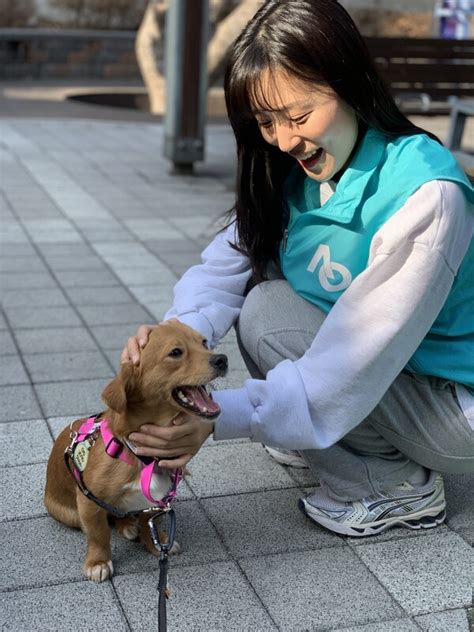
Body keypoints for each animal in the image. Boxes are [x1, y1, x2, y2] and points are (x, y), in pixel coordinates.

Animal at [44, 320, 228, 584]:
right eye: (175, 353)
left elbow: (151, 523)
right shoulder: (88, 501)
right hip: (69, 513)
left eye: (204, 342)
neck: (143, 457)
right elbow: (99, 533)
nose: (222, 359)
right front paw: (98, 562)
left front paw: (156, 542)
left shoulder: (156, 501)